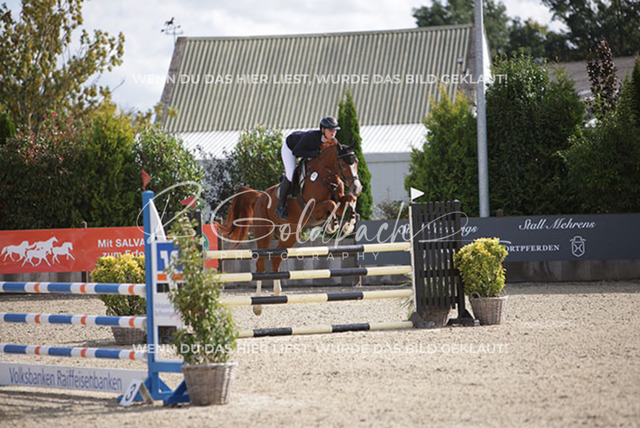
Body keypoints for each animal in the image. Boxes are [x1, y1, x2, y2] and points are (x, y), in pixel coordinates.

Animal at [219, 138, 362, 315]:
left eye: (356, 161)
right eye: (342, 163)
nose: (357, 188)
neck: (326, 176)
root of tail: (260, 196)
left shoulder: (340, 200)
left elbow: (348, 200)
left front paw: (348, 224)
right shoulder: (313, 208)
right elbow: (331, 203)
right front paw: (332, 225)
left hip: (291, 234)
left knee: (275, 259)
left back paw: (277, 292)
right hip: (265, 233)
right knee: (260, 266)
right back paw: (258, 306)